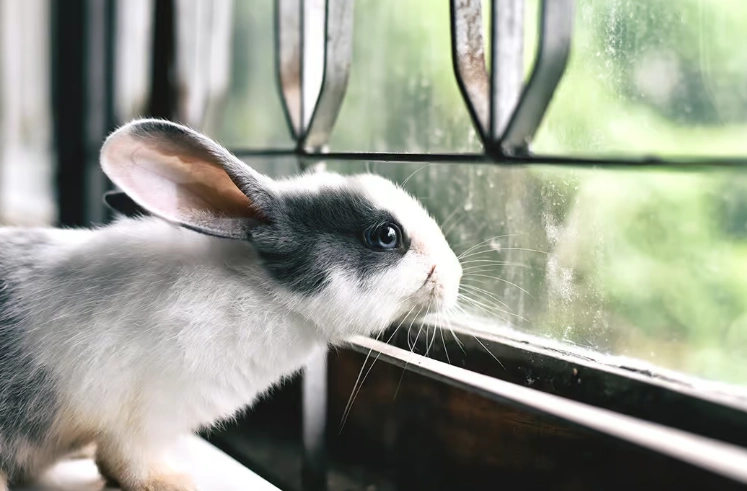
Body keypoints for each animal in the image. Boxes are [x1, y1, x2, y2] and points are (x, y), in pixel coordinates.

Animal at [0, 119, 462, 490]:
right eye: (385, 235)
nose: (455, 276)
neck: (264, 291)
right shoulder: (145, 416)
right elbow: (125, 460)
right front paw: (171, 483)